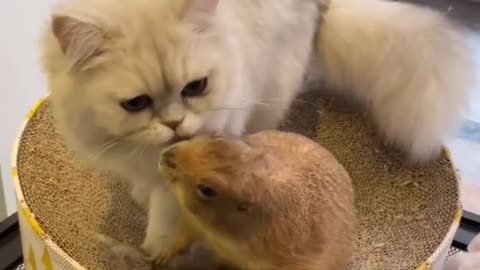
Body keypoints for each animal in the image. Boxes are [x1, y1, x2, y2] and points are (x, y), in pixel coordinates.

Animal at [44, 0, 476, 260]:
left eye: (195, 87)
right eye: (136, 104)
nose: (174, 124)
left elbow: (169, 208)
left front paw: (156, 246)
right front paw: (140, 196)